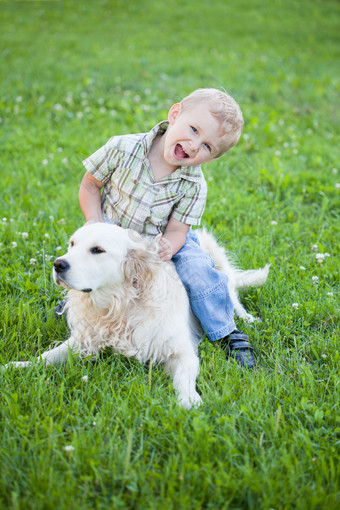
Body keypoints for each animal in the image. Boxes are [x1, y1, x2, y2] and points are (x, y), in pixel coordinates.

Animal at [2, 223, 268, 410]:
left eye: (97, 250)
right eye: (72, 244)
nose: (58, 264)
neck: (118, 307)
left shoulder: (181, 350)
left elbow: (184, 376)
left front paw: (189, 400)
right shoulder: (81, 341)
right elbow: (46, 356)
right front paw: (16, 366)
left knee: (231, 297)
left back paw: (245, 321)